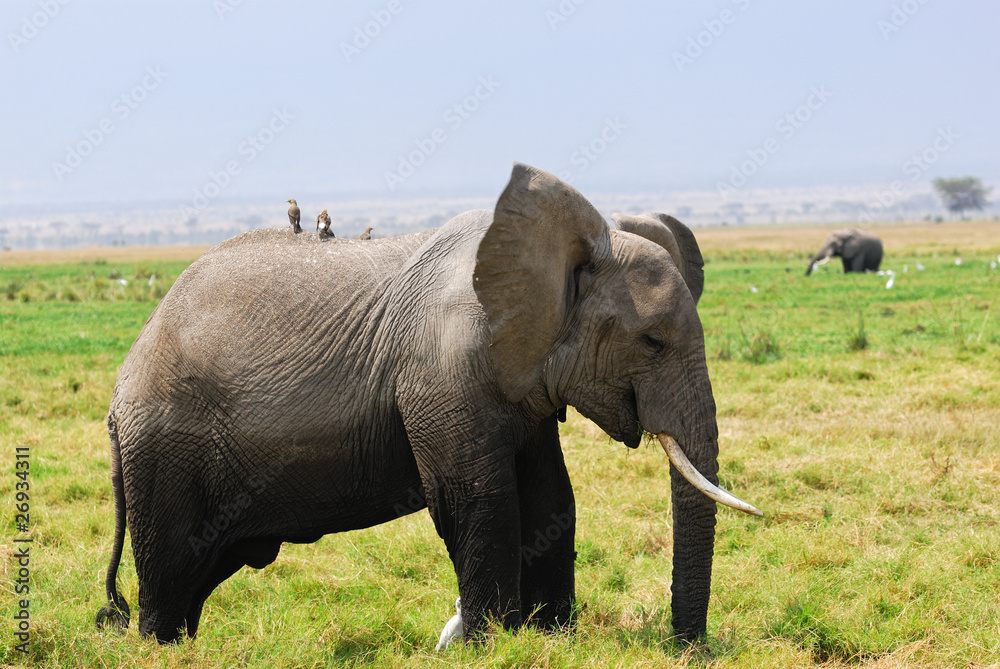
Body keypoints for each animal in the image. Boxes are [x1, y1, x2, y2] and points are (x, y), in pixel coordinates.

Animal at [96, 163, 760, 646]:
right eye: (651, 342)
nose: (686, 647)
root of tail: (118, 392)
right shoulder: (444, 369)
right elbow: (478, 498)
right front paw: (492, 645)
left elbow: (552, 497)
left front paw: (551, 637)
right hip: (165, 449)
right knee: (170, 575)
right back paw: (161, 647)